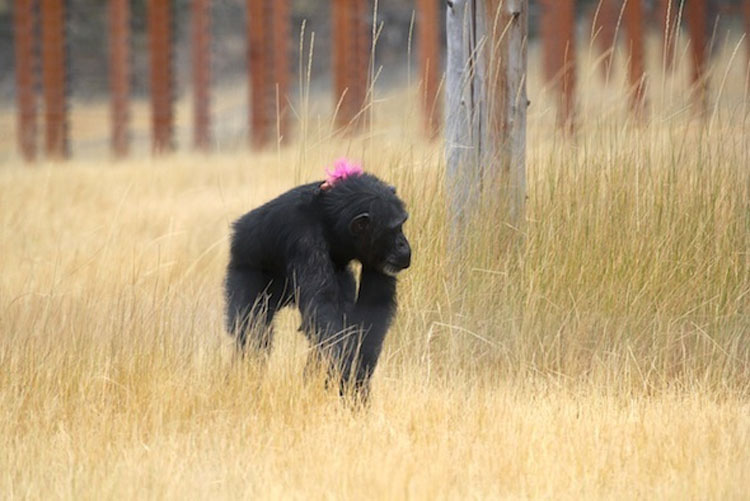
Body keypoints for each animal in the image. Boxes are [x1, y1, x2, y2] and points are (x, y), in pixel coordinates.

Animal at [225, 160, 412, 398]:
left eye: (402, 225)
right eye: (394, 229)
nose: (403, 244)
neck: (330, 224)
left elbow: (371, 308)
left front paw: (356, 384)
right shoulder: (305, 241)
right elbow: (323, 311)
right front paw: (348, 375)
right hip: (244, 267)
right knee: (252, 330)